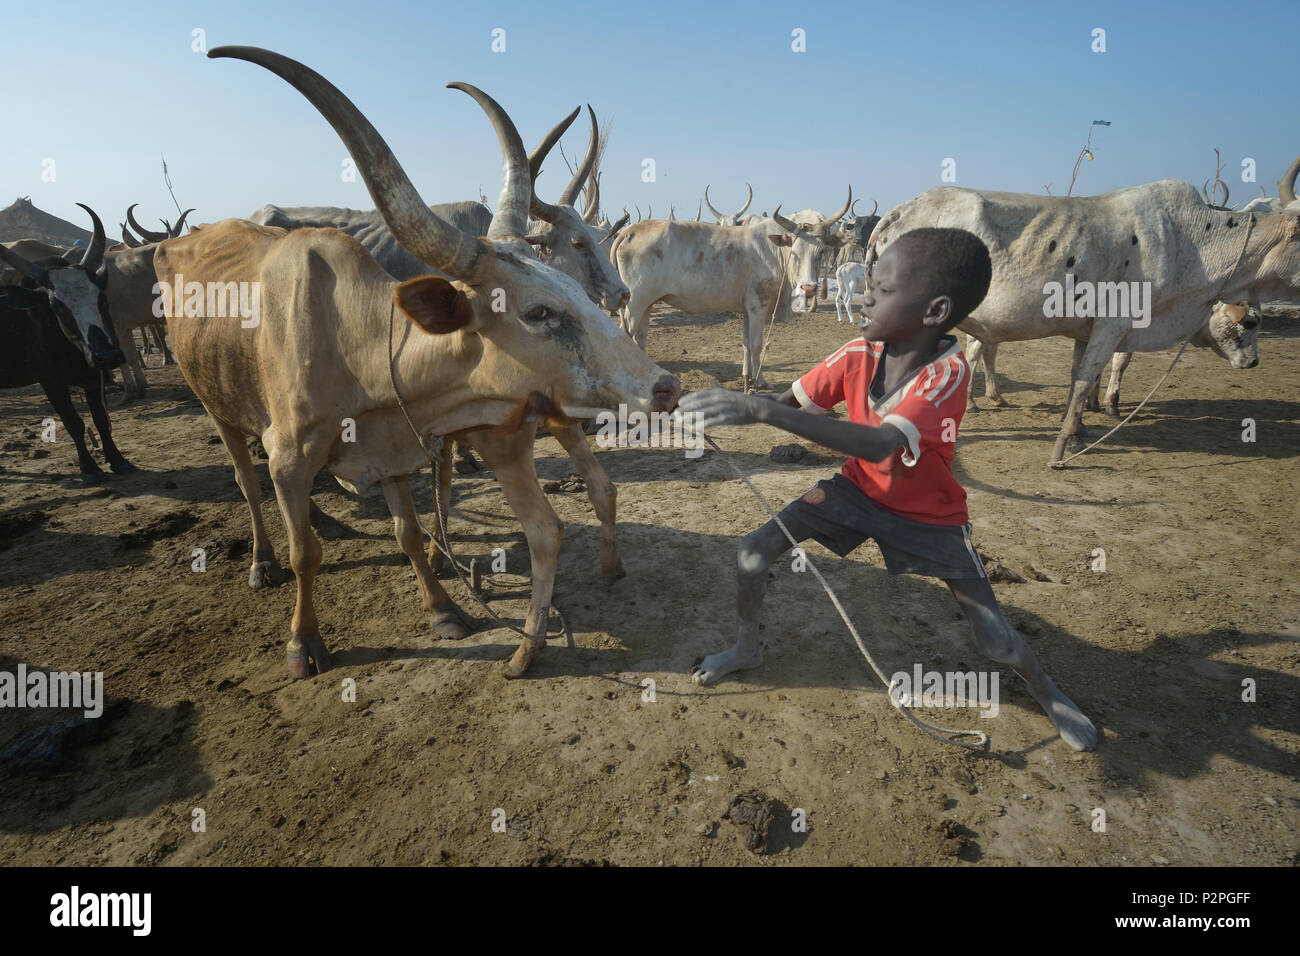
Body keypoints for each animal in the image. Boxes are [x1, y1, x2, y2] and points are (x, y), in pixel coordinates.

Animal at [163, 48, 681, 681]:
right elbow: (305, 551)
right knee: (247, 482)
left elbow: (408, 532)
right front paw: (303, 642)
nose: (665, 386)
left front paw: (443, 608)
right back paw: (262, 561)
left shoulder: (401, 452)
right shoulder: (290, 456)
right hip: (217, 408)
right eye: (538, 312)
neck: (358, 345)